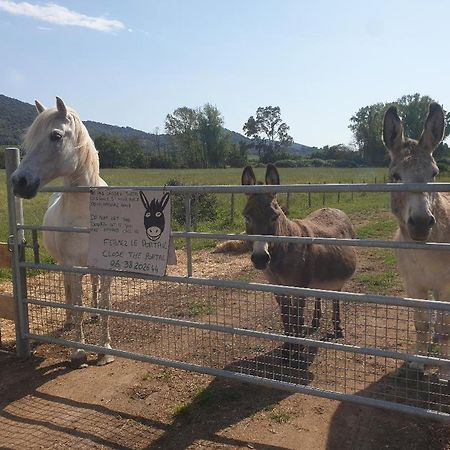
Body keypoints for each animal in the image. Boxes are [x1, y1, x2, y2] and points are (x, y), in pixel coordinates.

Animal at [11, 96, 114, 368]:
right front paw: (79, 351)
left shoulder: (105, 267)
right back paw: (68, 321)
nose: (18, 182)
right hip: (64, 265)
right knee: (68, 290)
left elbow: (105, 304)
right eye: (29, 140)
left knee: (93, 286)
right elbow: (76, 303)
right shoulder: (72, 265)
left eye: (55, 136)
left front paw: (105, 349)